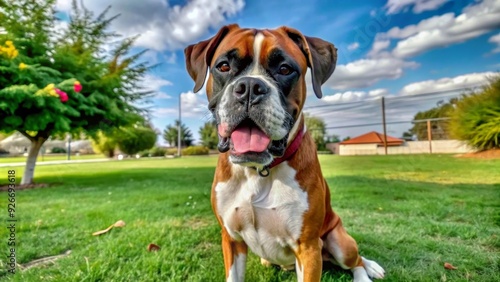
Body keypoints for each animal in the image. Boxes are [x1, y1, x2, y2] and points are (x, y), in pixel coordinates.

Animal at [186, 24, 384, 282]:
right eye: (224, 66)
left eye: (284, 69)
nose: (249, 87)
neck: (258, 172)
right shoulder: (231, 239)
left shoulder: (308, 248)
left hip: (339, 242)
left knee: (356, 260)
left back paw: (367, 269)